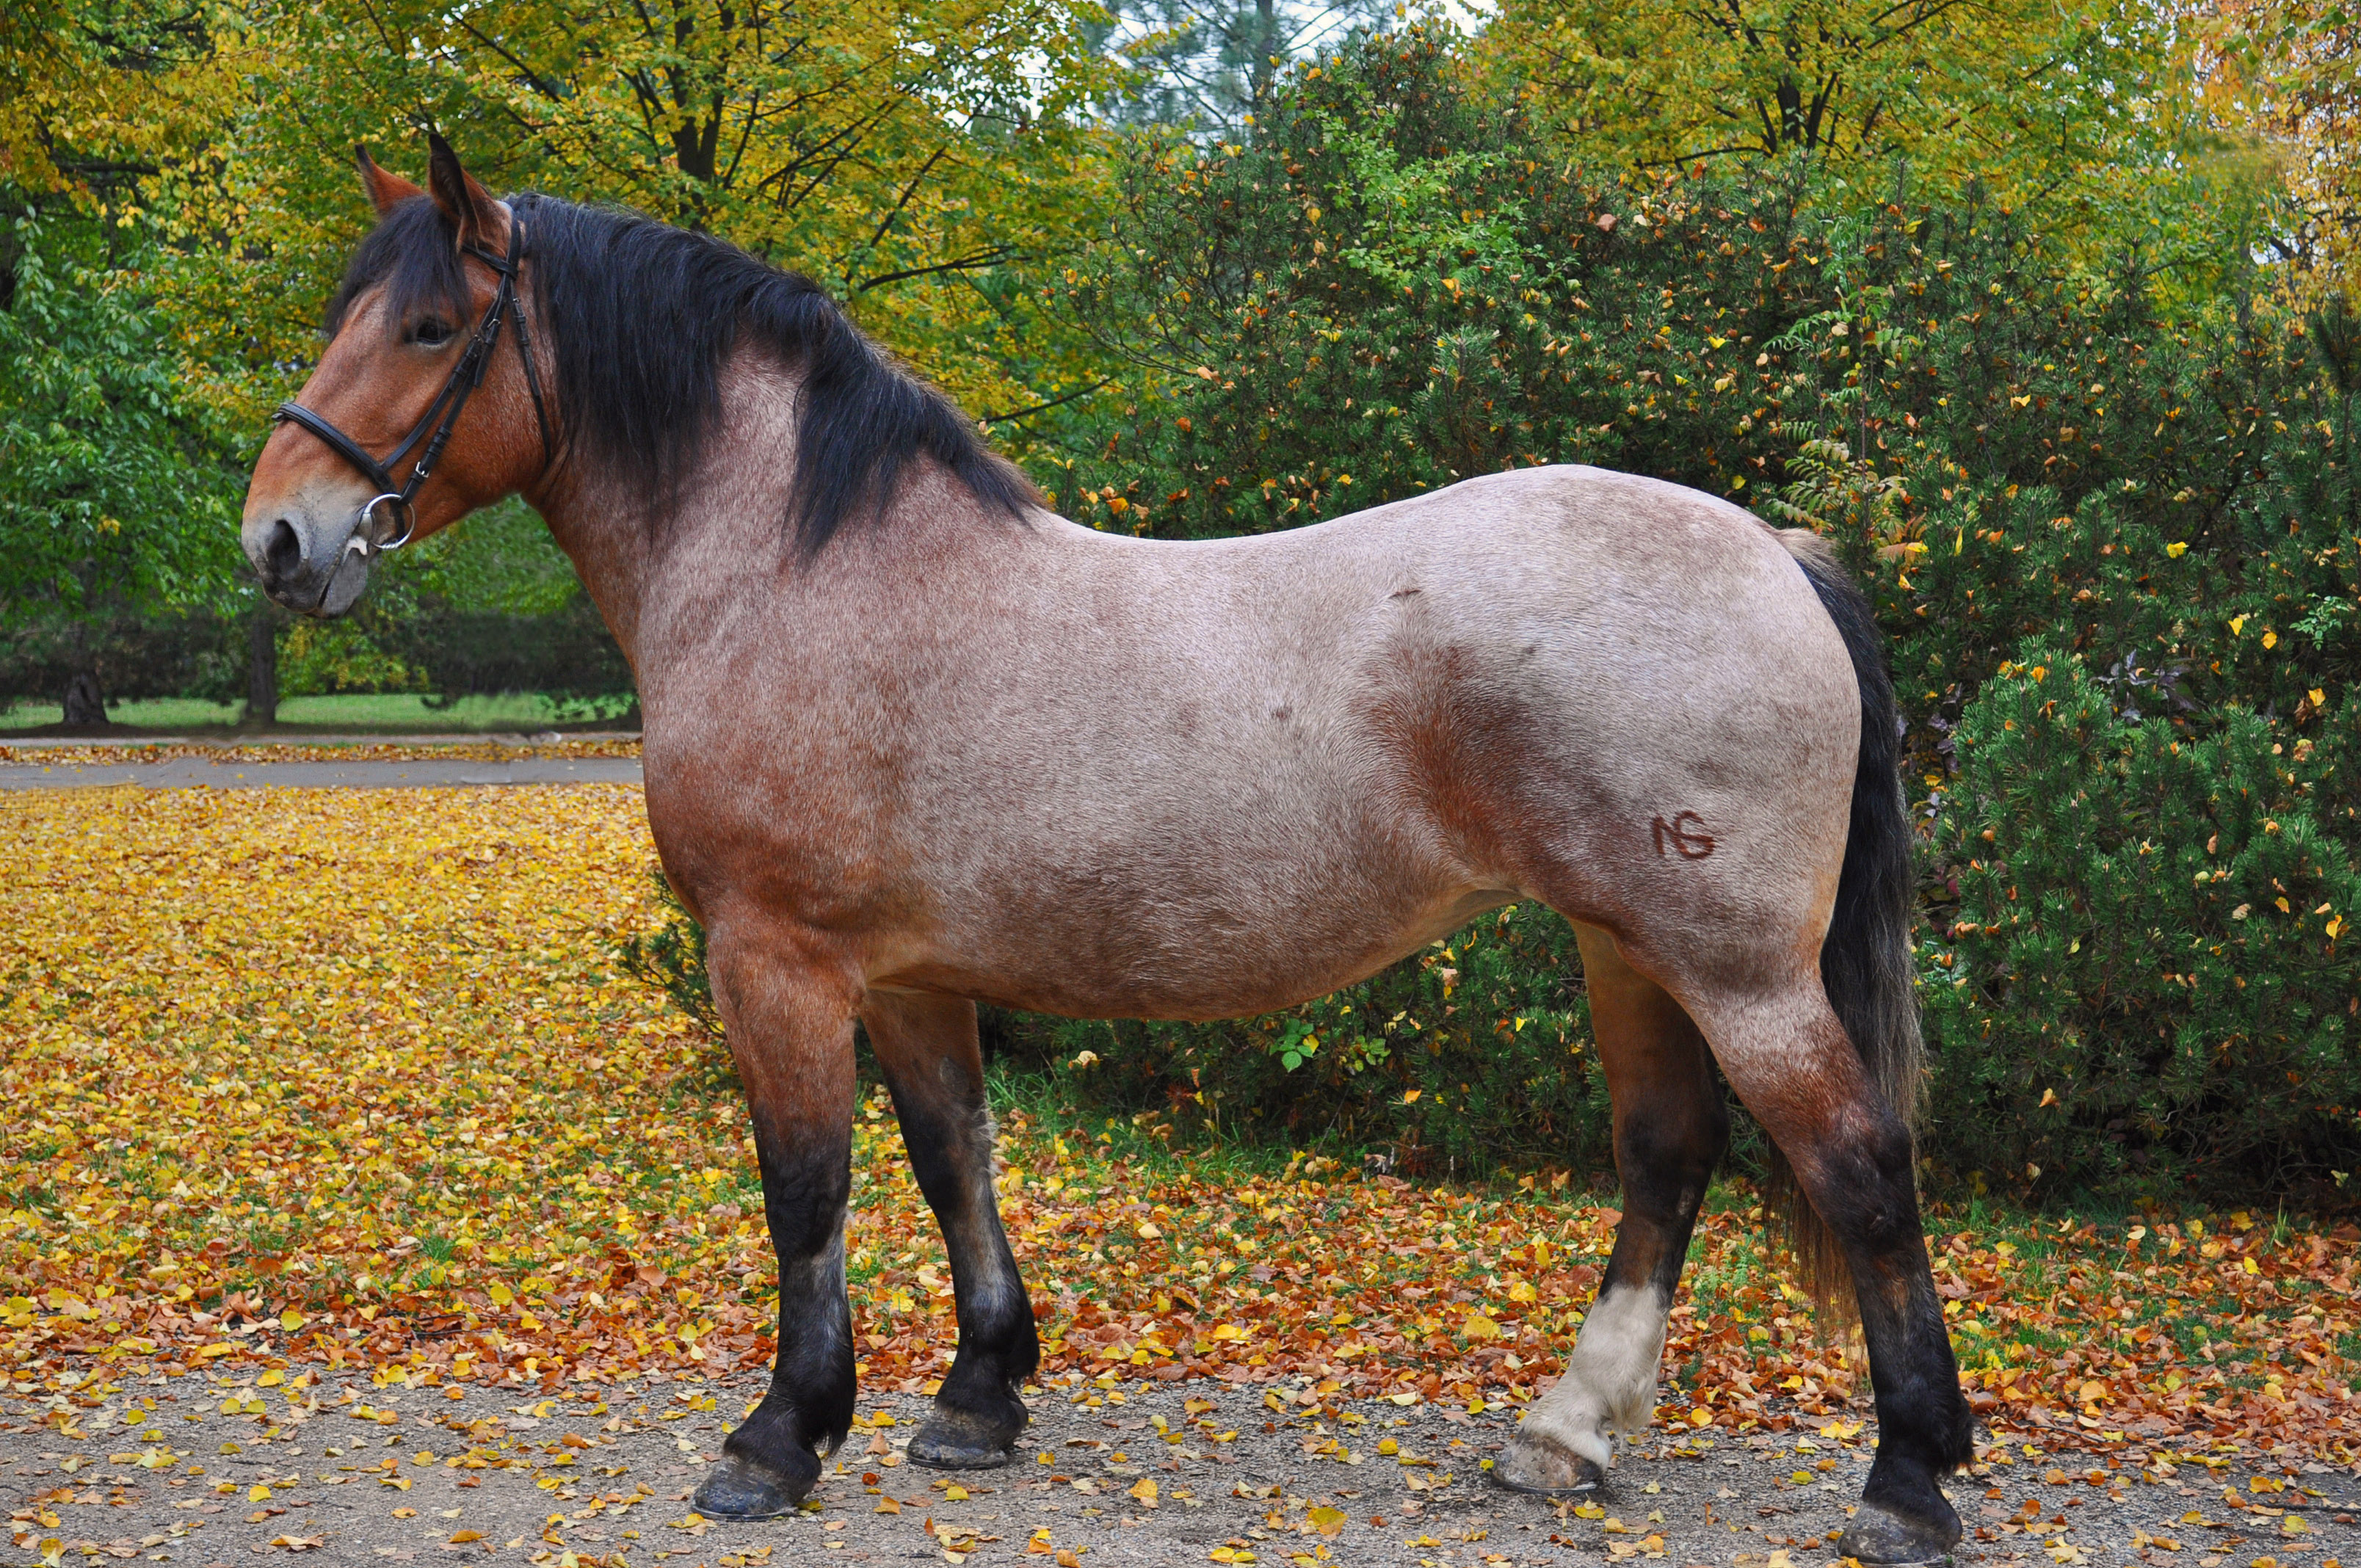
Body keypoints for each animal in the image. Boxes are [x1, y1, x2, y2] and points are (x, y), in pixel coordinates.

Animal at [234, 137, 1973, 1568]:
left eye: (430, 329)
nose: (279, 539)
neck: (802, 571)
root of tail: (1776, 550)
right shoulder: (910, 976)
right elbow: (953, 1161)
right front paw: (976, 1399)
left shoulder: (773, 957)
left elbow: (807, 1187)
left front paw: (780, 1438)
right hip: (1627, 951)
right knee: (1666, 1160)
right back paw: (1566, 1436)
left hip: (1736, 969)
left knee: (1861, 1165)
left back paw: (1907, 1480)